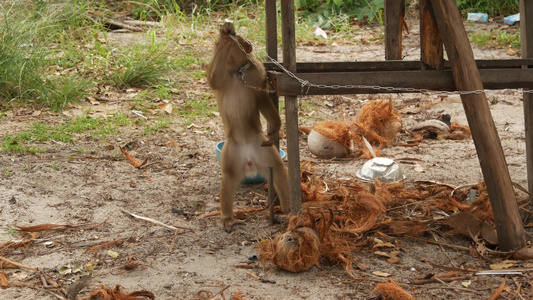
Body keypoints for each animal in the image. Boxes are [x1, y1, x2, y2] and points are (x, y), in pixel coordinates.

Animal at [207, 22, 288, 231]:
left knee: (278, 170)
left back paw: (288, 209)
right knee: (228, 178)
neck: (237, 72)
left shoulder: (256, 72)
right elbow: (214, 79)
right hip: (231, 153)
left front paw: (275, 126)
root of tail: (249, 163)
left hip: (262, 148)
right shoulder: (223, 76)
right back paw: (227, 217)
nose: (229, 37)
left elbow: (261, 97)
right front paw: (224, 36)